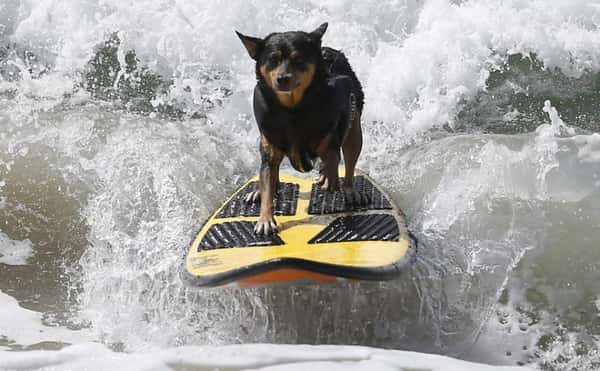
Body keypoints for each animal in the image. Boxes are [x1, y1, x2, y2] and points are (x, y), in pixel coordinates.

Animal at [236, 22, 366, 235]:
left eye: (298, 60)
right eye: (273, 60)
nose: (282, 78)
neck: (293, 108)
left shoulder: (336, 122)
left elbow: (332, 154)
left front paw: (329, 176)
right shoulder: (269, 140)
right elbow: (268, 177)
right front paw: (265, 219)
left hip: (355, 127)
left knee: (349, 157)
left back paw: (348, 188)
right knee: (271, 174)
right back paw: (259, 190)